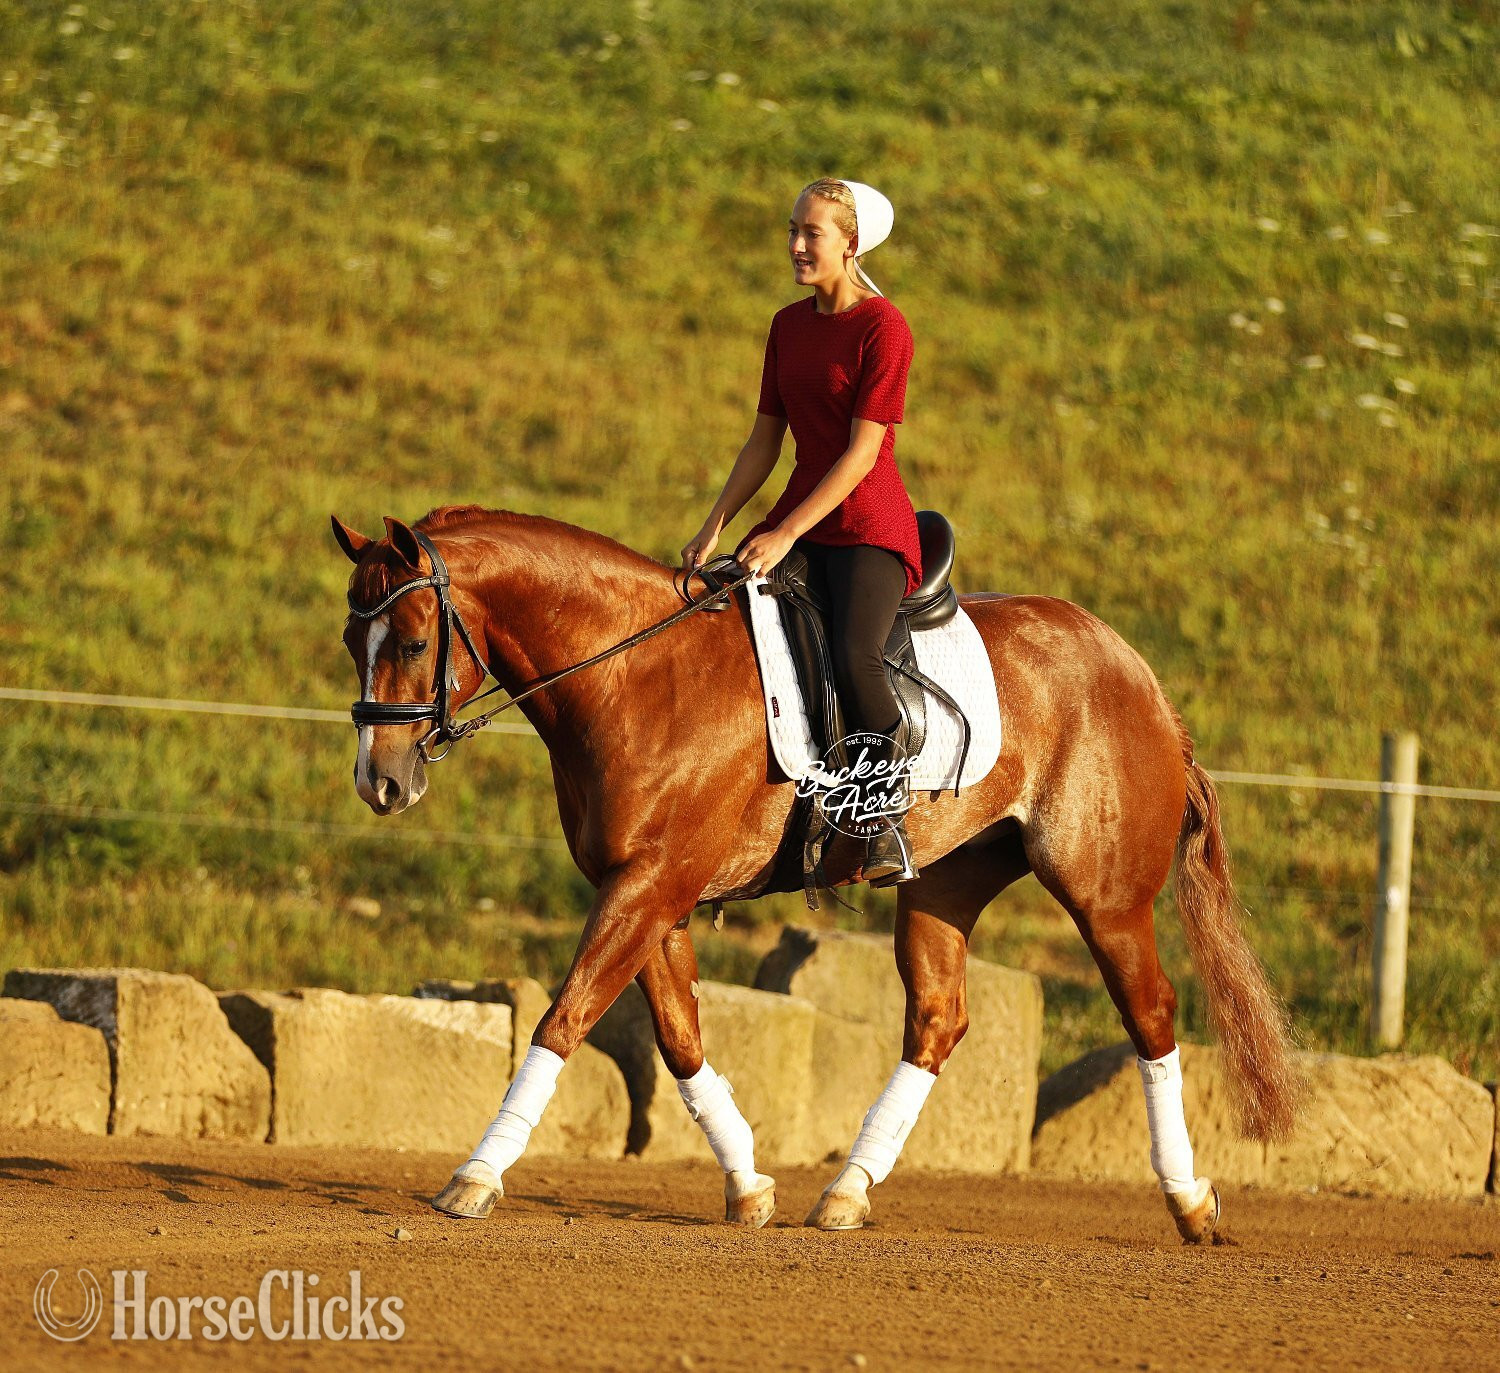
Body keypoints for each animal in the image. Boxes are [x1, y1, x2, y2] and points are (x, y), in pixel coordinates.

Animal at [333, 504, 1297, 1239]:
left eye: (412, 641)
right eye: (351, 636)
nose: (380, 782)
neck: (636, 672)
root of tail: (1139, 673)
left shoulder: (649, 886)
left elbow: (563, 1016)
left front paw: (474, 1175)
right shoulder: (650, 893)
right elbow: (679, 1039)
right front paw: (749, 1184)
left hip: (1105, 895)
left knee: (1151, 1015)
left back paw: (1189, 1199)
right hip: (945, 881)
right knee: (937, 1021)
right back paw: (848, 1189)